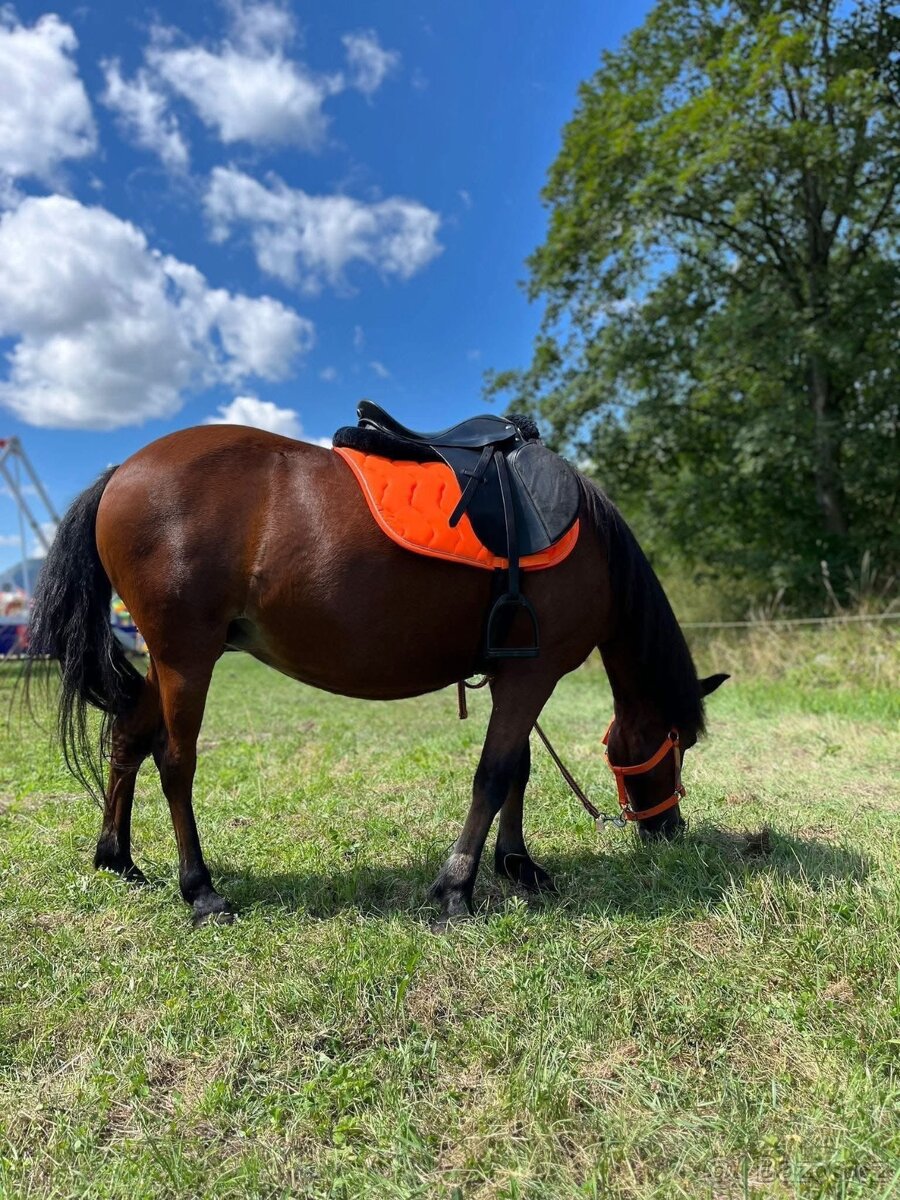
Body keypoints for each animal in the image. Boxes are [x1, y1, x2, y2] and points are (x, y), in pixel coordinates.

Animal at [28, 423, 727, 928]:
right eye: (680, 742)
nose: (668, 828)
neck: (595, 548)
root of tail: (122, 471)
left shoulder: (514, 675)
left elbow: (517, 771)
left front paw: (518, 864)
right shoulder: (534, 675)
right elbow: (495, 772)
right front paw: (457, 887)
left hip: (165, 657)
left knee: (127, 737)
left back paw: (117, 859)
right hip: (185, 656)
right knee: (175, 761)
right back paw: (200, 890)